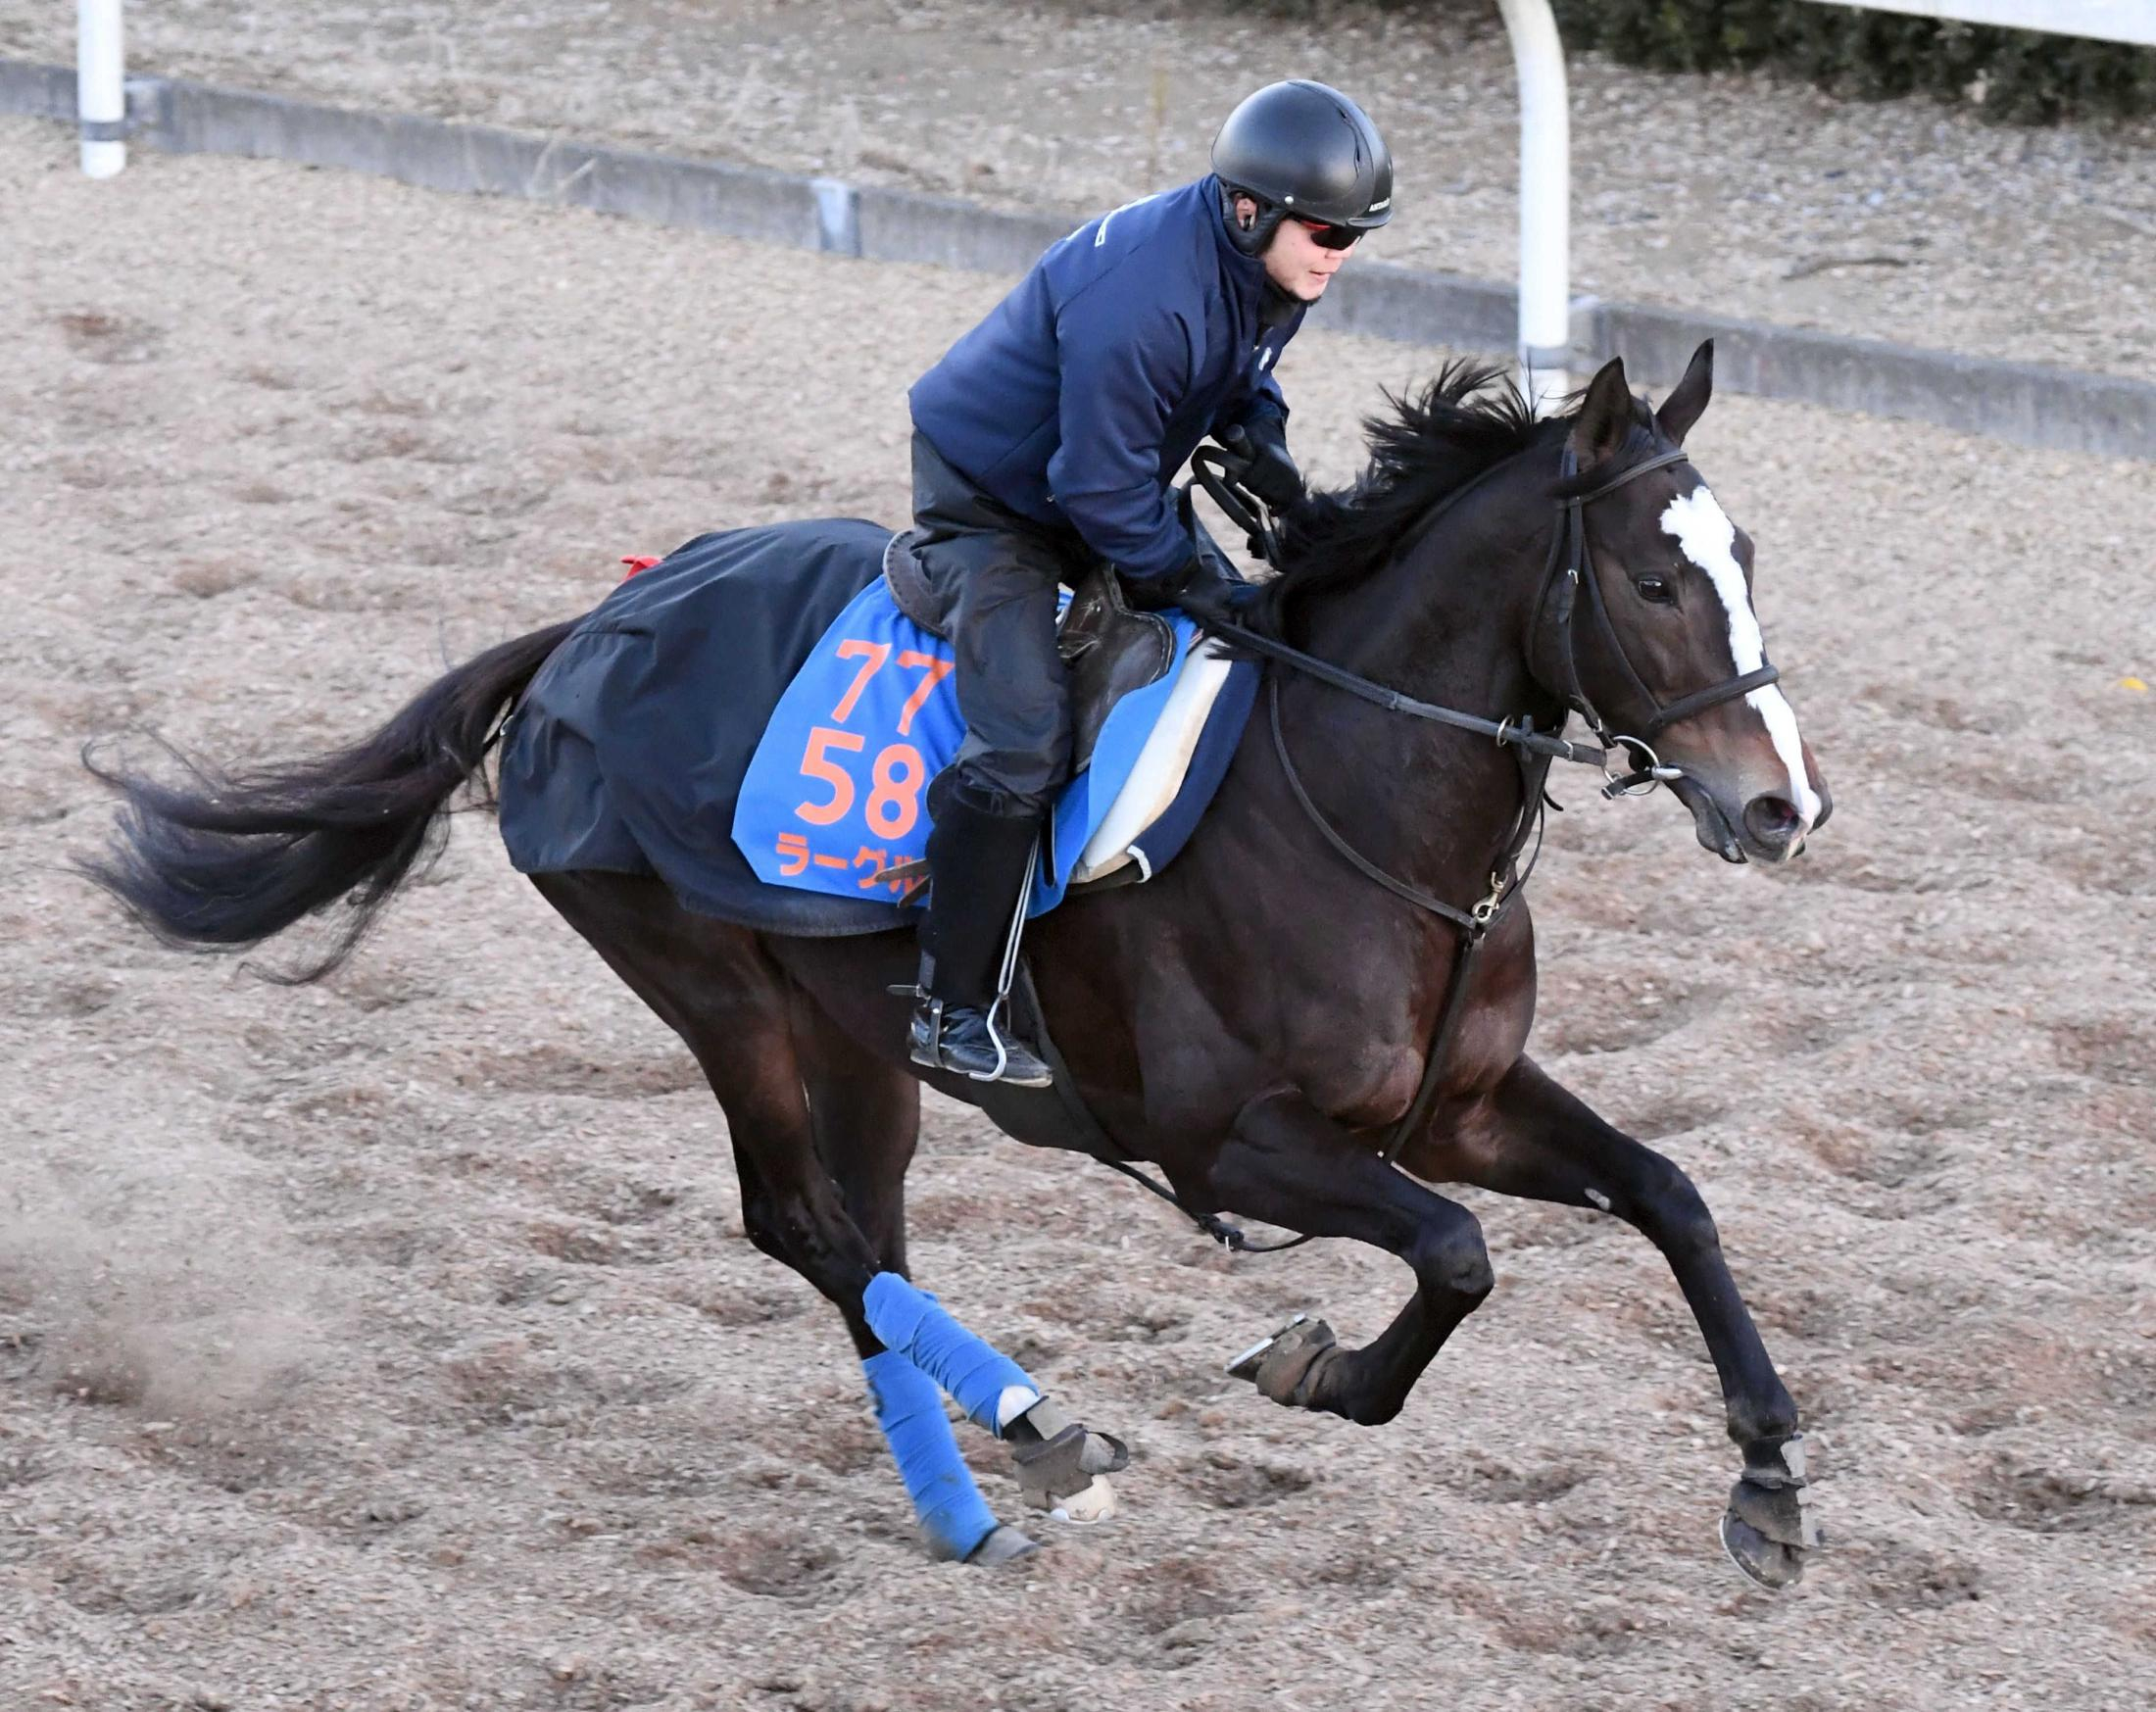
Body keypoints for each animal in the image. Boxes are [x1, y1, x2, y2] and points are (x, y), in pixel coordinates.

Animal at [83, 342, 1837, 1587]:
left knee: (871, 1233)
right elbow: (1461, 1254)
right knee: (802, 1221)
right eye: (1653, 579)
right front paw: (1317, 1367)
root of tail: (589, 625)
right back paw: (1033, 1424)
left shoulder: (1458, 1104)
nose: (1781, 804)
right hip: (707, 976)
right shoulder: (1232, 1141)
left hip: (855, 1028)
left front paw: (1768, 1476)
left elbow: (1672, 1192)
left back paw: (985, 1471)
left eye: (1750, 554)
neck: (1363, 802)